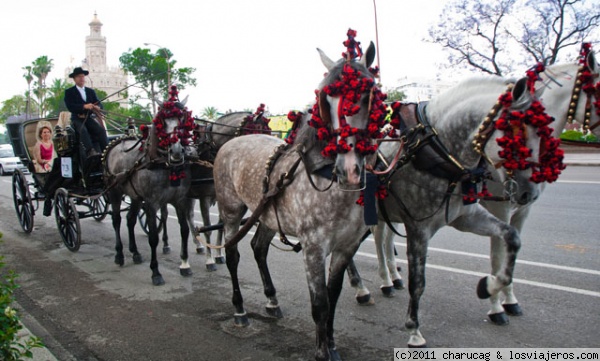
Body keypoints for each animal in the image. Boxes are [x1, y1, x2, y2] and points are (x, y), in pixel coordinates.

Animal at [103, 86, 196, 286]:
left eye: (182, 120)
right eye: (162, 120)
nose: (177, 151)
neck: (164, 164)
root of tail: (115, 143)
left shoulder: (180, 200)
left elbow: (184, 230)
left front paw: (185, 265)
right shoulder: (152, 204)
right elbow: (153, 238)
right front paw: (155, 272)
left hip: (135, 196)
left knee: (130, 219)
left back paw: (135, 253)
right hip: (115, 191)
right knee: (117, 220)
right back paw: (120, 255)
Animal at [213, 31, 386, 360]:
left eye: (367, 92)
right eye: (325, 98)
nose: (348, 169)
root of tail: (230, 143)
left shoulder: (346, 247)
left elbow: (333, 297)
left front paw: (332, 344)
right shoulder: (314, 247)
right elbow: (320, 305)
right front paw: (322, 352)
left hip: (267, 216)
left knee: (258, 248)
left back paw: (271, 300)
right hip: (231, 211)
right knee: (232, 253)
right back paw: (239, 310)